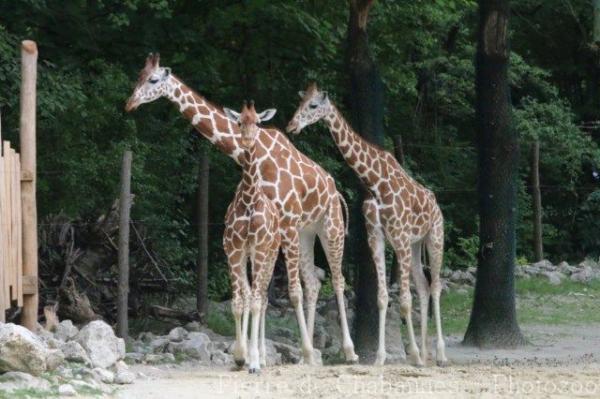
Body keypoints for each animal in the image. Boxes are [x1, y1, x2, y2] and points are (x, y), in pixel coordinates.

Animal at [288, 83, 448, 368]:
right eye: (300, 103)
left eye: (313, 105)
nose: (292, 126)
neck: (375, 182)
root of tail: (435, 203)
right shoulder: (378, 237)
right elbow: (383, 298)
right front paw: (382, 357)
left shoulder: (399, 237)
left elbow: (404, 301)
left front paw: (412, 355)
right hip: (416, 245)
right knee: (423, 285)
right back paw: (426, 353)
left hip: (434, 237)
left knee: (436, 285)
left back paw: (439, 355)